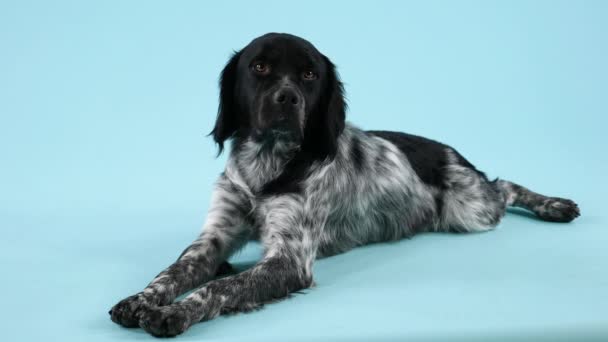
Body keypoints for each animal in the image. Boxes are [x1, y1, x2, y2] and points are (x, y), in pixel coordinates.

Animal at [108, 32, 580, 336]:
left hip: (472, 209)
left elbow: (220, 288)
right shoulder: (215, 236)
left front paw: (177, 312)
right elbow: (174, 271)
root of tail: (451, 151)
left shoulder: (290, 260)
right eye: (259, 67)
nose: (287, 99)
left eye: (309, 75)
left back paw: (555, 205)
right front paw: (142, 299)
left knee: (506, 185)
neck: (266, 165)